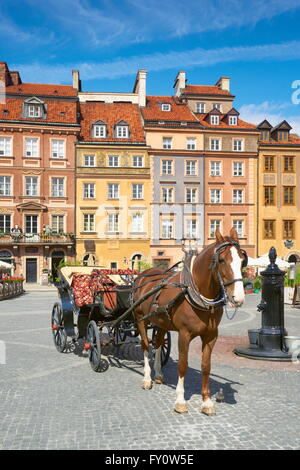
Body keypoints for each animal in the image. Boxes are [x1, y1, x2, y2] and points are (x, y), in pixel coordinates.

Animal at [134, 228, 246, 414]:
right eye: (222, 259)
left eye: (243, 260)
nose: (238, 298)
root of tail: (142, 276)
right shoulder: (184, 334)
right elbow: (183, 365)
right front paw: (180, 400)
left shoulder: (211, 336)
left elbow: (206, 366)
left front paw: (206, 401)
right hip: (140, 320)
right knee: (145, 346)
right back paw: (147, 378)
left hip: (161, 322)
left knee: (158, 343)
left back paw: (158, 374)